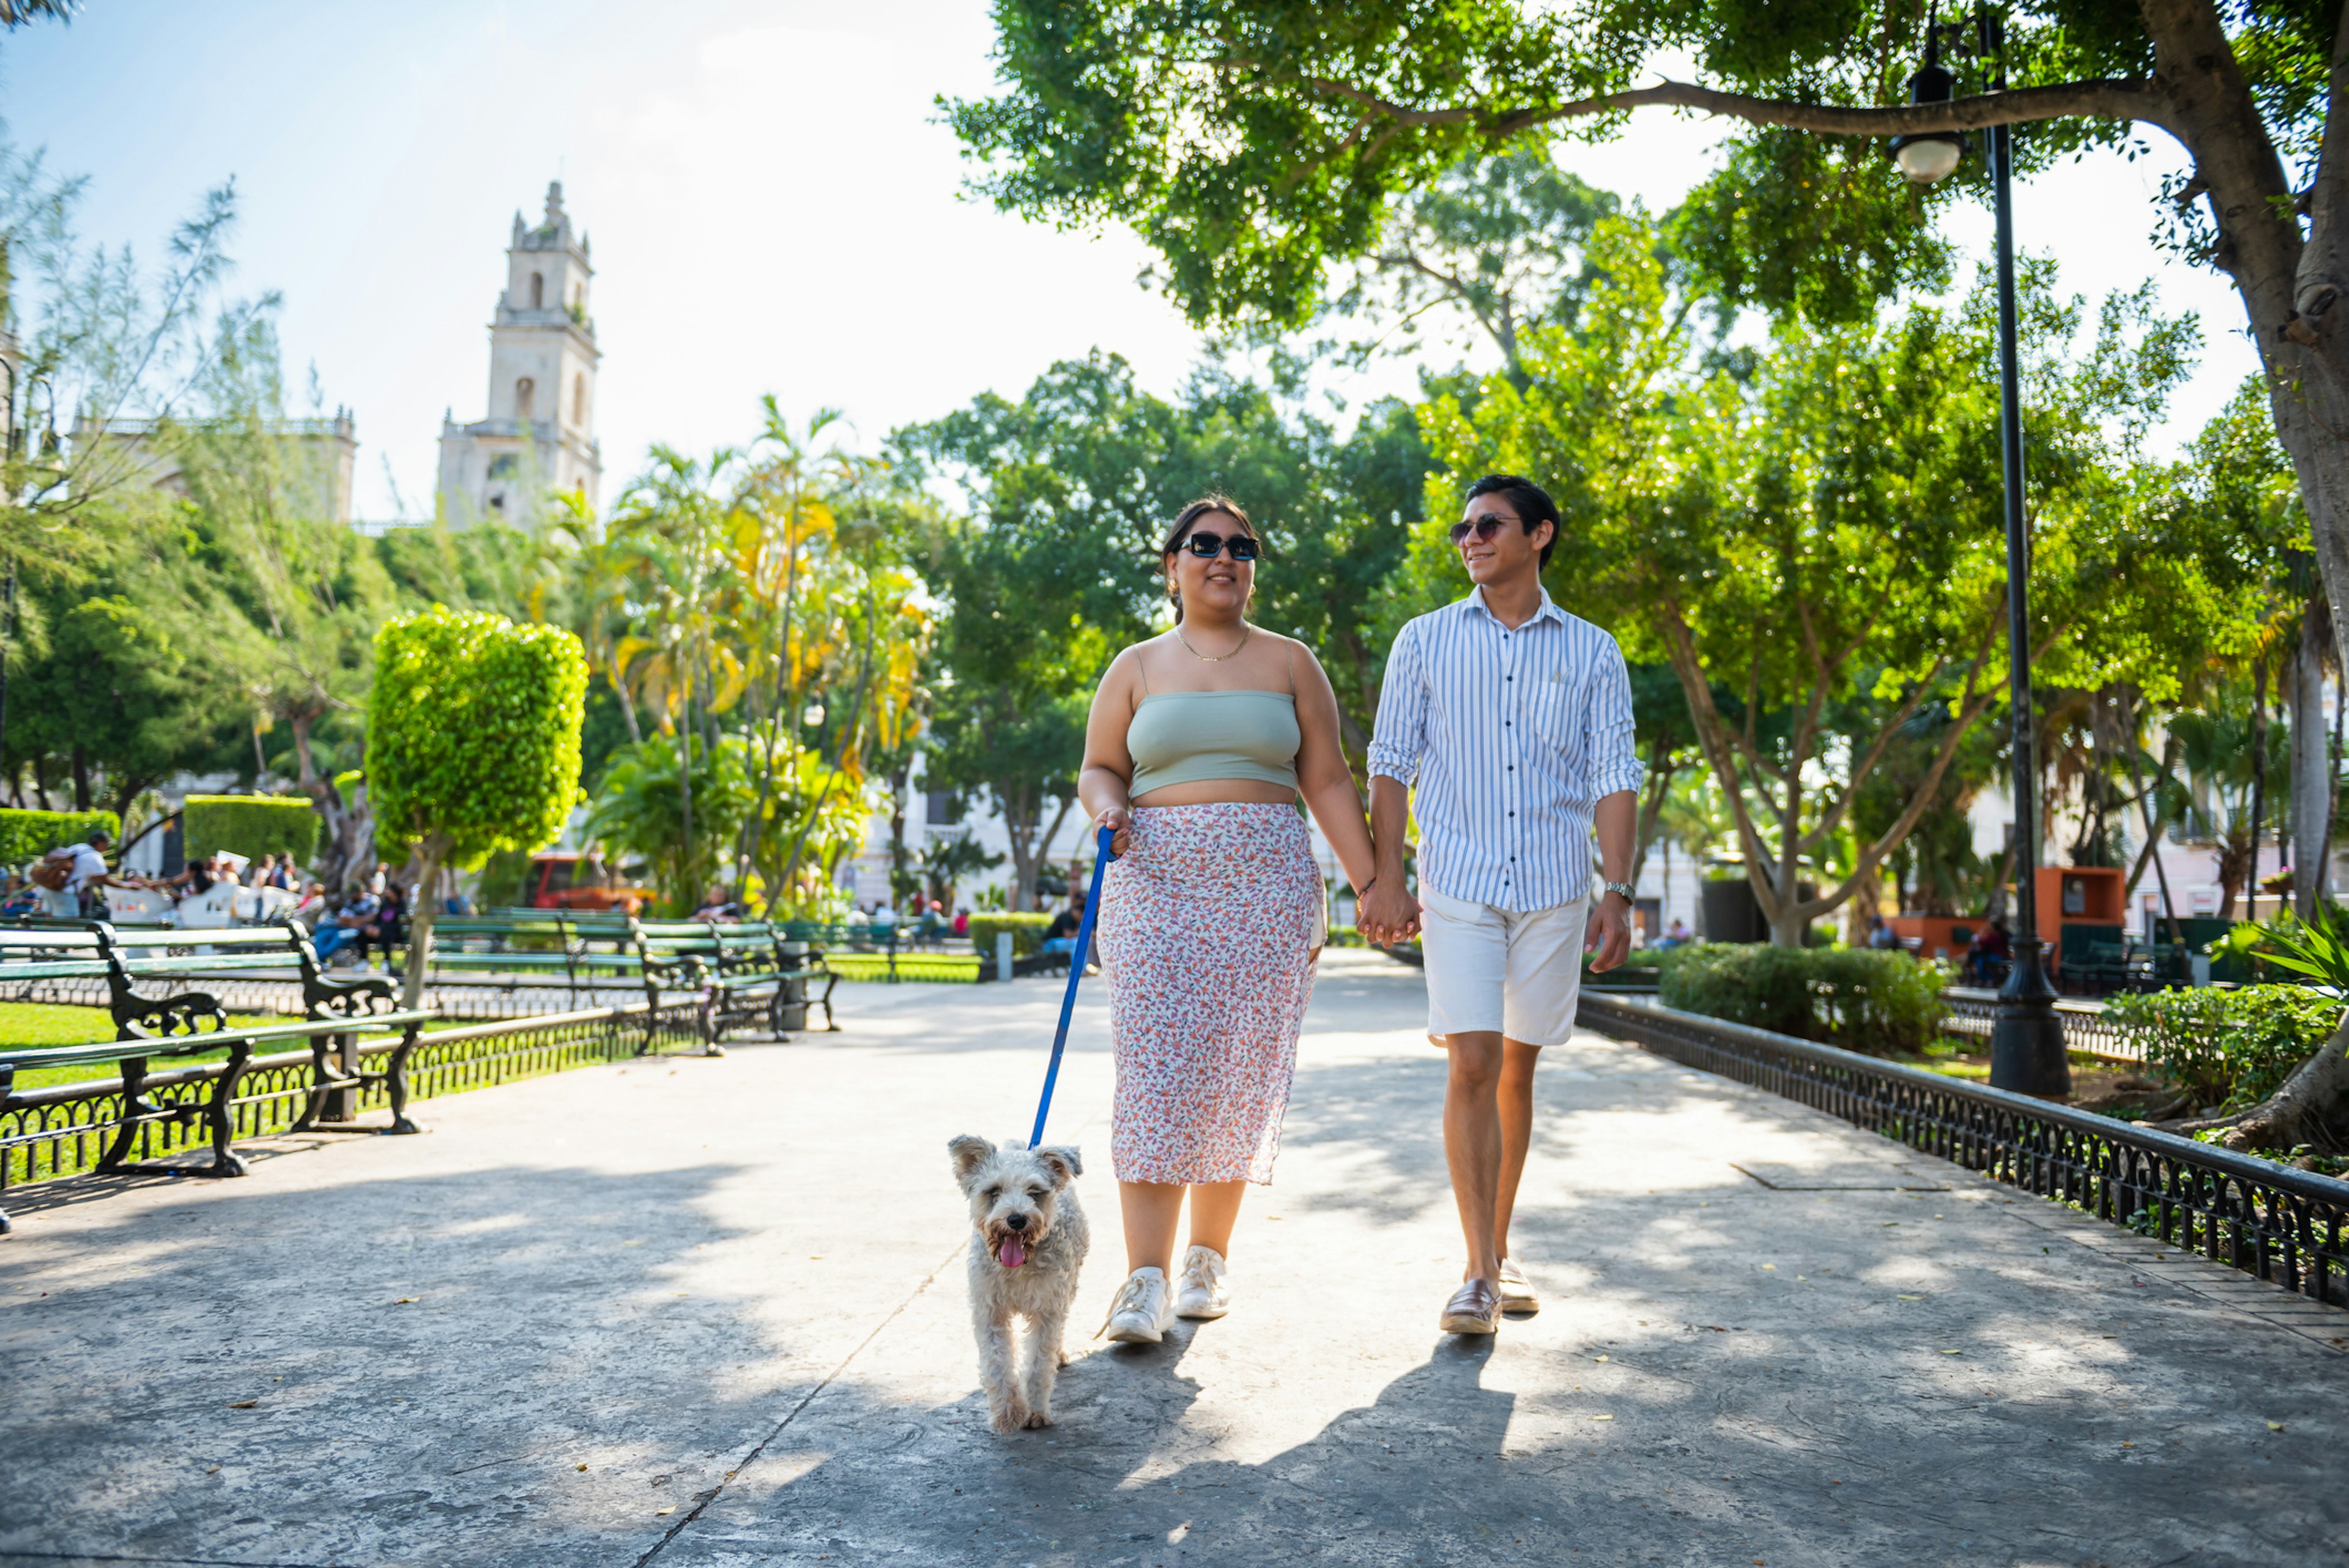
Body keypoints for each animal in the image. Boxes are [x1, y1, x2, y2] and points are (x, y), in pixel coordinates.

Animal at [944, 1142, 1089, 1438]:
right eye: (994, 1191)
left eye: (1034, 1191)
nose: (1016, 1219)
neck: (1017, 1268)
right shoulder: (990, 1313)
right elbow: (996, 1364)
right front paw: (1008, 1414)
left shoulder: (1048, 1311)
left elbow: (1038, 1365)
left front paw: (1035, 1413)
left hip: (1068, 1289)